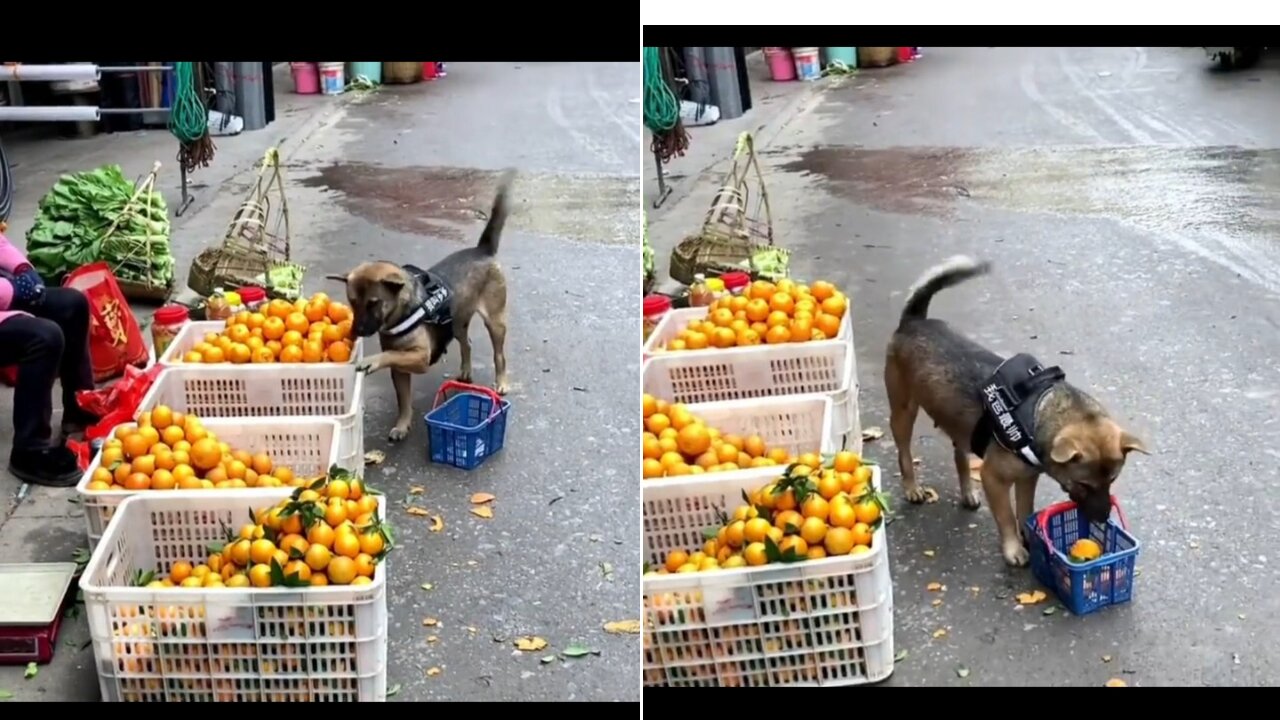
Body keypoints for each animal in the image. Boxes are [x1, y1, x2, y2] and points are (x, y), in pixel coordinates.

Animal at [327, 170, 517, 440]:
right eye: (352, 302)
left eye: (374, 303)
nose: (356, 332)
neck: (401, 313)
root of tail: (482, 250)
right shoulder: (400, 372)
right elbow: (404, 400)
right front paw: (402, 425)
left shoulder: (420, 358)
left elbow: (390, 354)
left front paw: (372, 360)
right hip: (457, 323)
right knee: (466, 343)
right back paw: (466, 371)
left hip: (495, 321)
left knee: (499, 355)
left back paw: (501, 382)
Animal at [880, 254, 1152, 563]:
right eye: (1084, 485)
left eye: (1112, 481)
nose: (1103, 518)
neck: (1039, 411)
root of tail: (914, 320)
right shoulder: (994, 480)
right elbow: (1007, 517)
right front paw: (1013, 548)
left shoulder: (1027, 479)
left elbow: (1025, 510)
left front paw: (1031, 536)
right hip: (903, 411)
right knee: (904, 452)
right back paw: (912, 487)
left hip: (959, 426)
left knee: (960, 455)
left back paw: (967, 492)